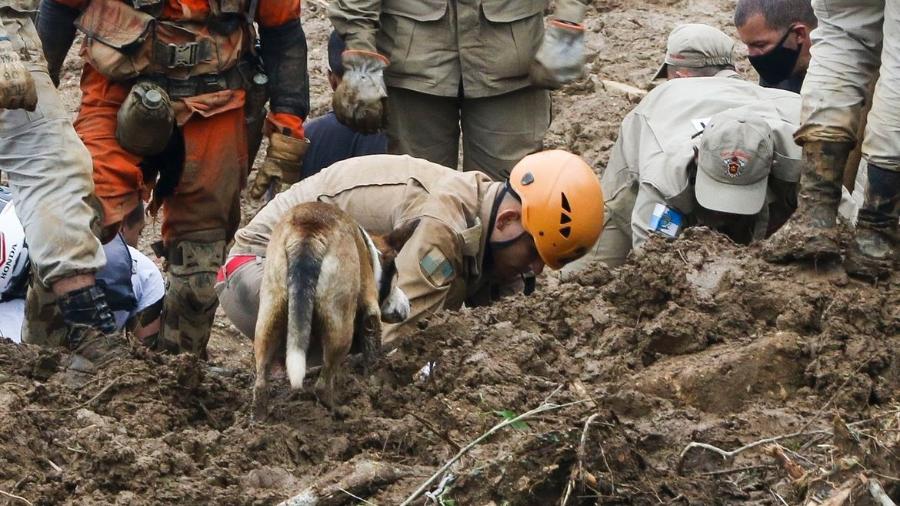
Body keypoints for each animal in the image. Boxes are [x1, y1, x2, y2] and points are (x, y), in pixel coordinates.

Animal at [253, 202, 418, 420]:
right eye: (395, 281)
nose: (410, 305)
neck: (371, 254)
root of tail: (309, 232)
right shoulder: (370, 311)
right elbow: (372, 349)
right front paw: (373, 382)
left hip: (270, 315)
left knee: (260, 379)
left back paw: (259, 419)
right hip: (341, 328)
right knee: (322, 385)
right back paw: (338, 410)